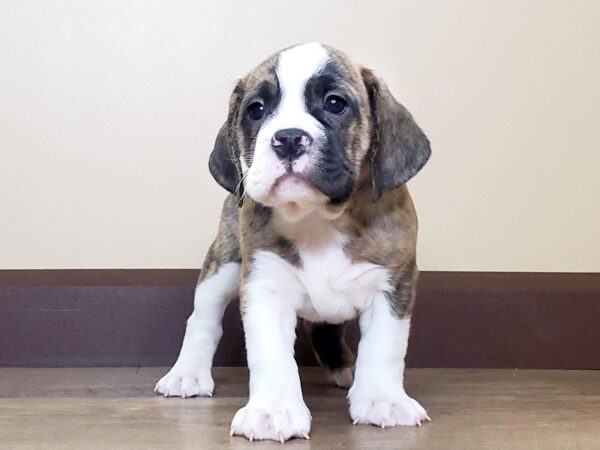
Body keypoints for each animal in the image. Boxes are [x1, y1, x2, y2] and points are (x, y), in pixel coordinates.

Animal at [155, 43, 432, 442]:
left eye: (335, 104)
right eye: (256, 110)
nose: (287, 138)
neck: (317, 218)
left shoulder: (393, 286)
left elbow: (384, 347)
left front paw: (383, 400)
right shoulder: (264, 287)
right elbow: (270, 354)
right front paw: (272, 410)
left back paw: (344, 368)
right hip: (223, 263)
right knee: (203, 316)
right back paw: (186, 374)